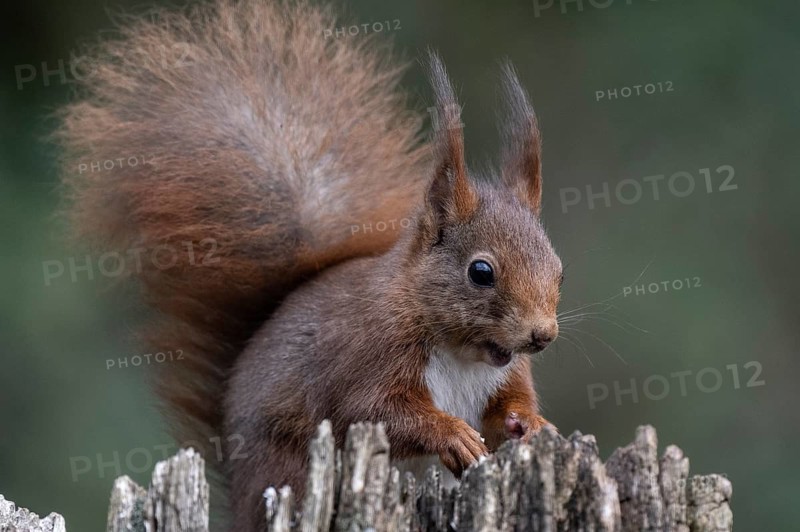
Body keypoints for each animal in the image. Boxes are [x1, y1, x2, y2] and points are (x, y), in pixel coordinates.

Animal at [55, 0, 562, 529]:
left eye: (558, 267)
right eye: (481, 272)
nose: (541, 335)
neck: (462, 351)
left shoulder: (508, 374)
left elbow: (507, 408)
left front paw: (533, 423)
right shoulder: (370, 356)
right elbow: (375, 411)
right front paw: (452, 434)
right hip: (286, 468)